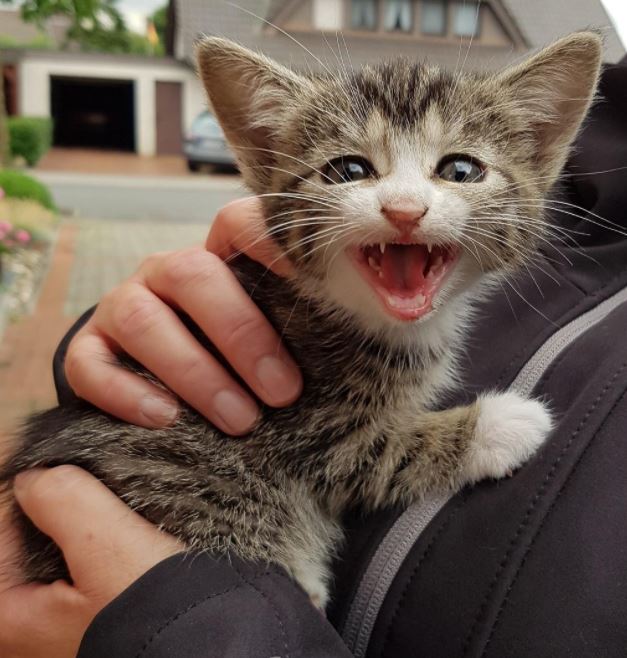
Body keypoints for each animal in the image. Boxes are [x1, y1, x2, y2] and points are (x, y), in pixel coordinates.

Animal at [0, 30, 604, 604]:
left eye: (460, 169)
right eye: (350, 169)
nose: (404, 210)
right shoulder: (312, 434)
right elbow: (390, 452)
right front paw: (504, 424)